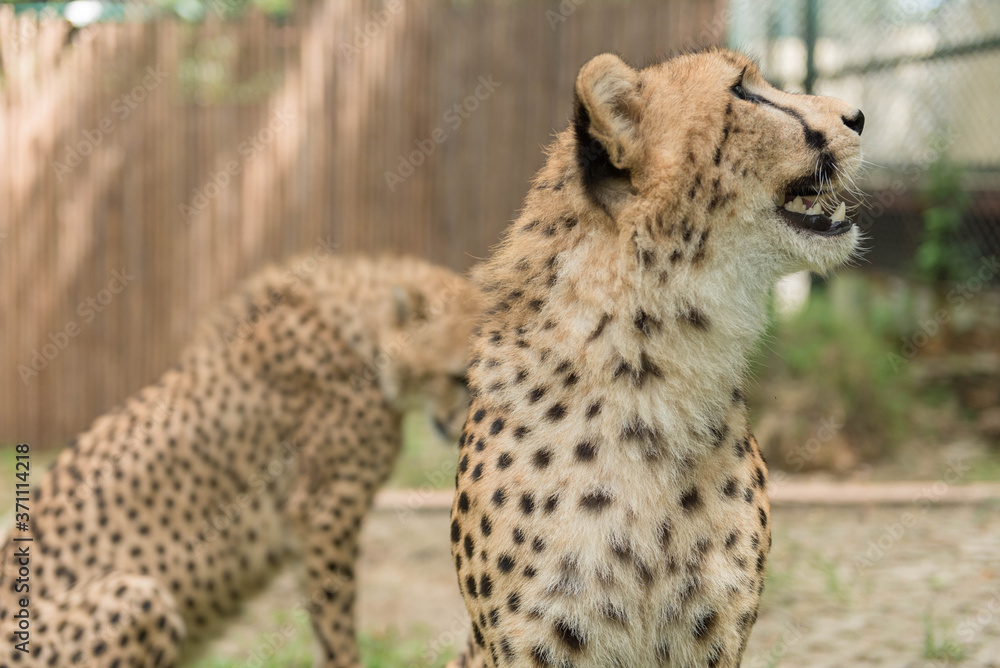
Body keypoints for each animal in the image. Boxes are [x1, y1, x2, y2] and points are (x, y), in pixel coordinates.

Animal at [0, 254, 481, 668]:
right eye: (459, 377)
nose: (463, 428)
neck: (362, 333)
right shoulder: (325, 512)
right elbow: (336, 624)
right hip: (138, 594)